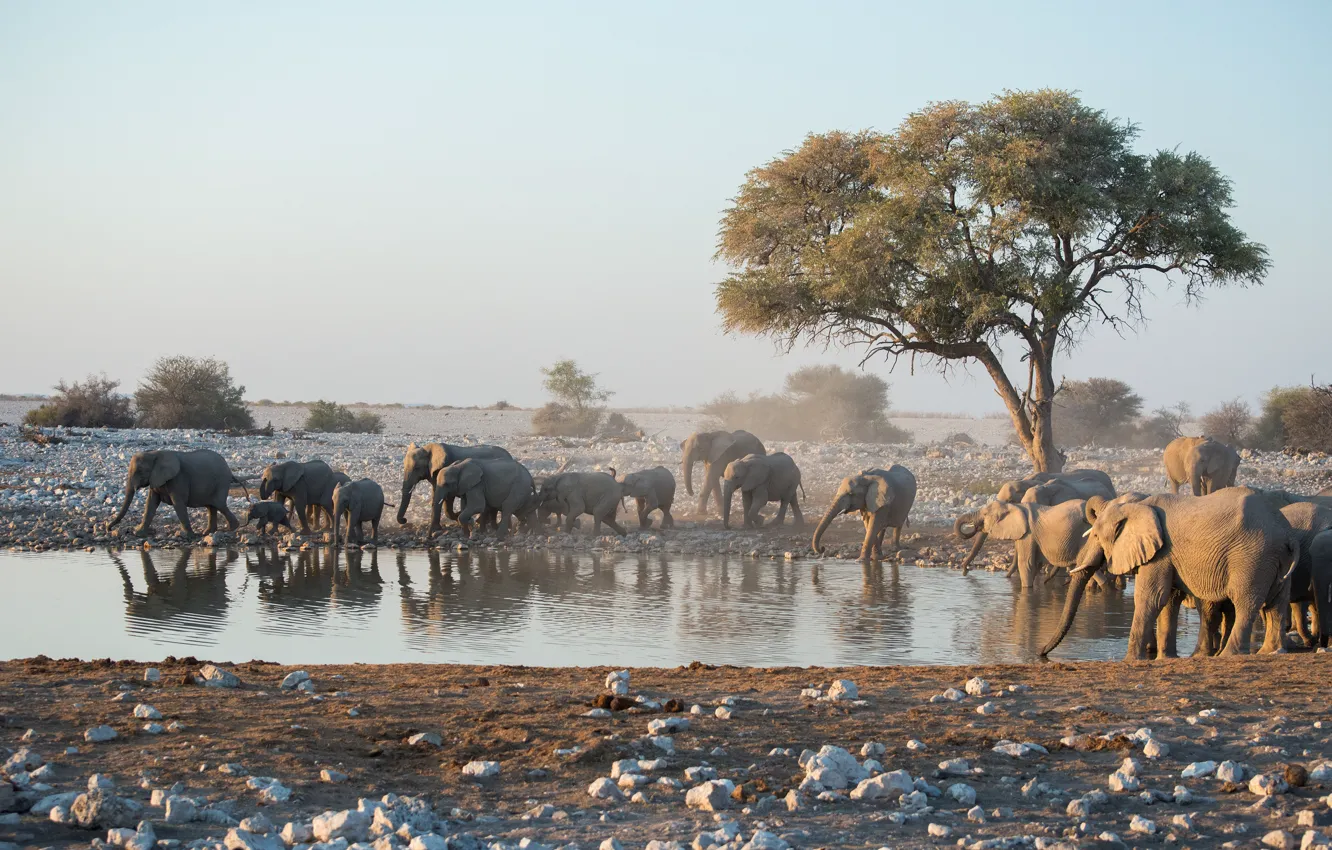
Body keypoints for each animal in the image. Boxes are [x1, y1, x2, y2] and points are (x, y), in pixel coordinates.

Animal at [108, 449, 247, 538]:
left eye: (140, 471)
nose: (109, 529)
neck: (155, 454)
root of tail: (230, 470)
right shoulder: (156, 478)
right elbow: (150, 504)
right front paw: (138, 534)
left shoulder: (178, 478)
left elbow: (178, 503)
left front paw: (187, 536)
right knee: (211, 506)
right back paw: (207, 533)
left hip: (221, 482)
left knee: (219, 504)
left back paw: (231, 528)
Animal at [1038, 489, 1298, 661]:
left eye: (1094, 536)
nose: (1040, 653)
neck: (1140, 504)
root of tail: (1286, 533)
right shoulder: (1168, 554)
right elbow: (1169, 599)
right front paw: (1165, 659)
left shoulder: (1161, 552)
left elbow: (1151, 598)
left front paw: (1131, 661)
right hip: (1272, 559)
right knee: (1276, 603)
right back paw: (1269, 651)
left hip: (1252, 557)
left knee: (1246, 603)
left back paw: (1228, 655)